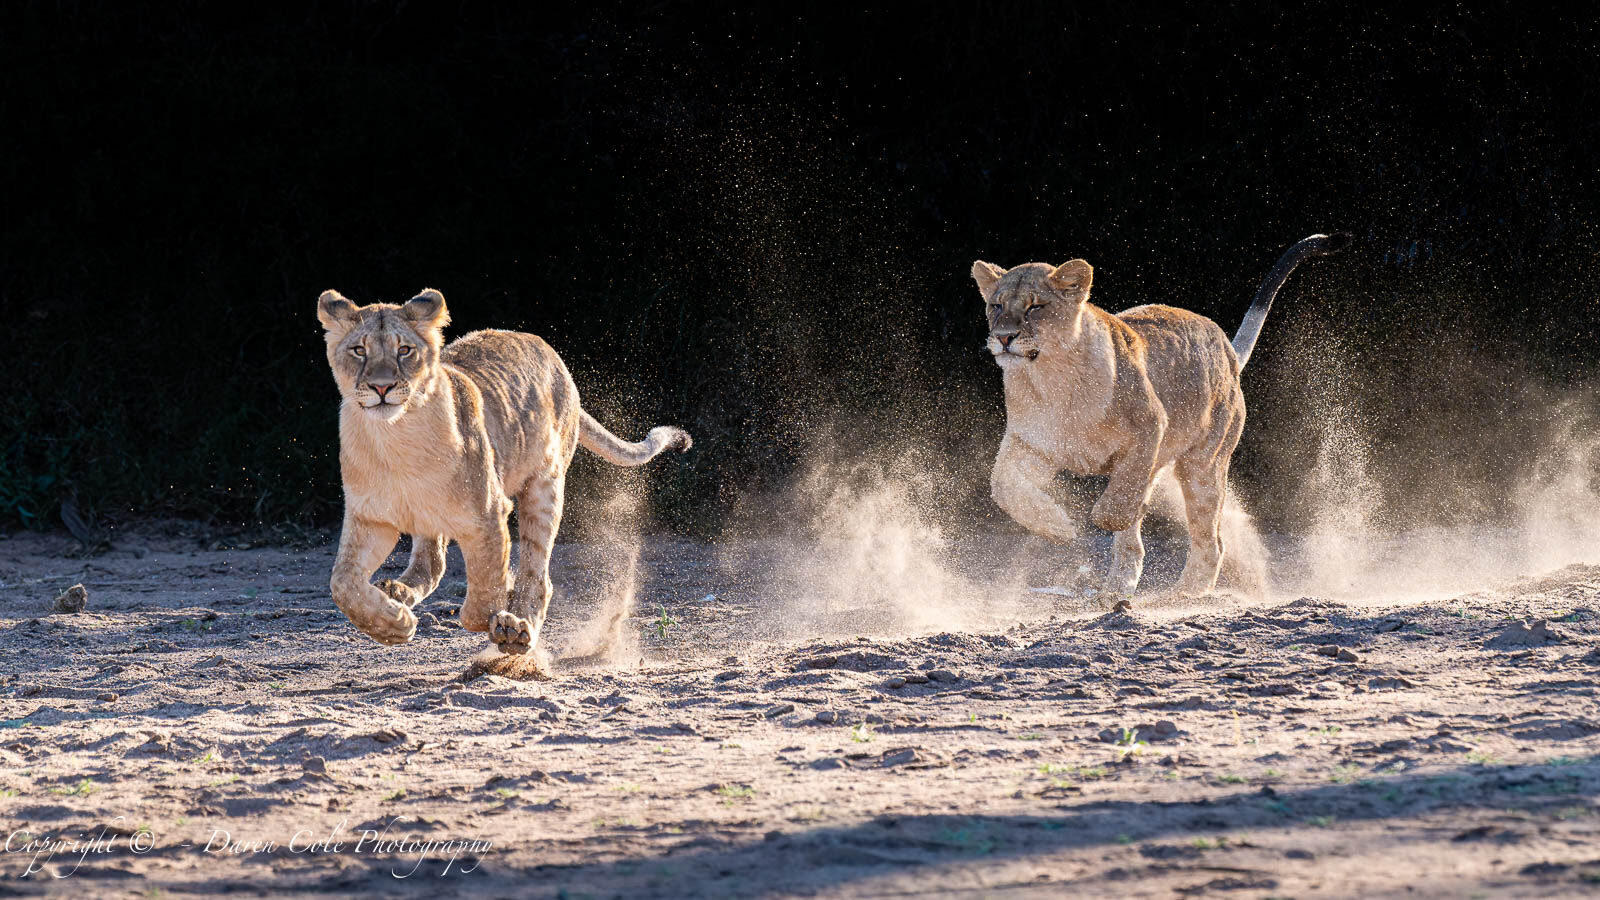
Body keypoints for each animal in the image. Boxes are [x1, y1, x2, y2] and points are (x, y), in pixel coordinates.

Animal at [316, 288, 691, 656]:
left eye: (404, 350)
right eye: (359, 350)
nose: (382, 388)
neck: (393, 442)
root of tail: (558, 363)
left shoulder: (487, 512)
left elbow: (484, 590)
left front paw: (499, 619)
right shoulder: (370, 519)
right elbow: (342, 583)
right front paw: (393, 625)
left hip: (544, 486)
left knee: (538, 575)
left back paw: (517, 629)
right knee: (432, 563)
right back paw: (396, 592)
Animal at [972, 233, 1349, 598]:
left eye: (1036, 306)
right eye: (996, 305)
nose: (1003, 337)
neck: (1049, 379)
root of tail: (1226, 348)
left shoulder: (1150, 425)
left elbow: (1118, 501)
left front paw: (1101, 518)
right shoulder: (1032, 444)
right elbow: (1002, 485)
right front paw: (1057, 526)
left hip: (1203, 465)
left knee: (1210, 540)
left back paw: (1185, 593)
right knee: (1143, 538)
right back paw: (1117, 588)